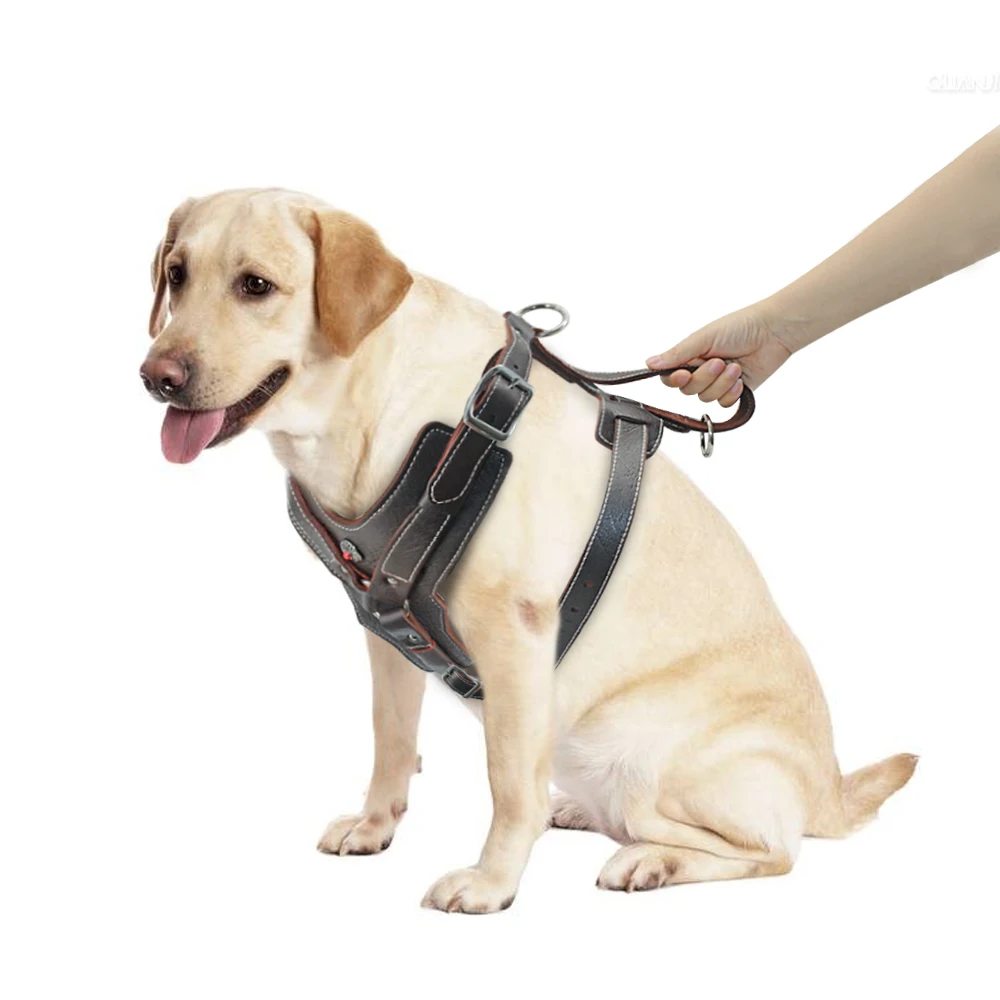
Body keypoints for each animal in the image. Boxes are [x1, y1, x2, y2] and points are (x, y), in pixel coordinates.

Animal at [141, 188, 916, 916]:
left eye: (255, 285)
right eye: (177, 275)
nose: (156, 377)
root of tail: (830, 788)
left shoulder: (513, 637)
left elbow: (508, 782)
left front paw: (491, 883)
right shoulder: (386, 627)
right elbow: (391, 739)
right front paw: (375, 824)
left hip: (637, 754)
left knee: (769, 849)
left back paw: (649, 859)